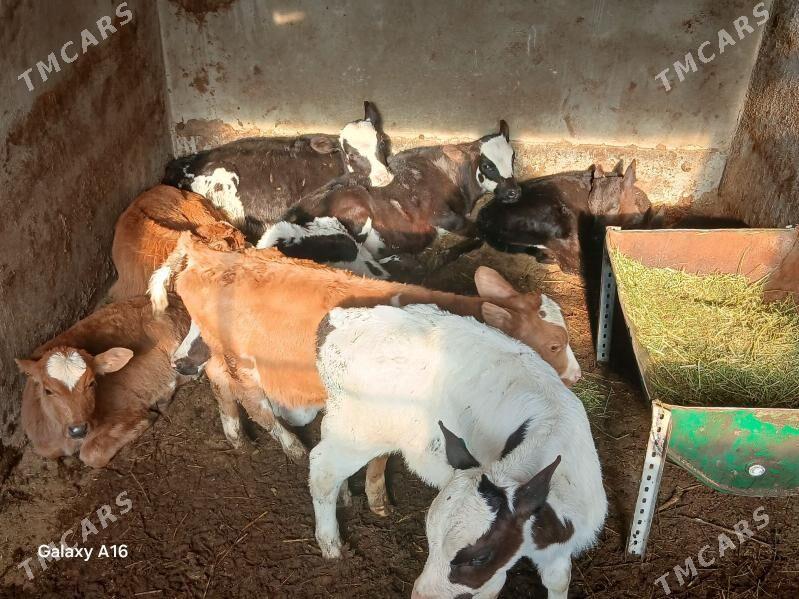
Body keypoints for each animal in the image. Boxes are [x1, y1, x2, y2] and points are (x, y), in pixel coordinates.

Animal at [14, 295, 190, 468]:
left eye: (91, 383)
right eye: (47, 390)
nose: (78, 430)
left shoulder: (125, 409)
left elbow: (90, 454)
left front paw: (144, 422)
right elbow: (48, 451)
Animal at [149, 233, 580, 515]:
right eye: (554, 345)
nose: (576, 376)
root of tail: (211, 255)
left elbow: (379, 459)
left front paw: (373, 499)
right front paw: (361, 497)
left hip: (217, 347)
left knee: (218, 379)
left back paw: (236, 435)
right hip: (242, 359)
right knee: (253, 400)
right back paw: (290, 446)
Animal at [313, 303, 606, 599]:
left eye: (480, 557)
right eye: (429, 538)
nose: (421, 596)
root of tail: (341, 317)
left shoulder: (558, 548)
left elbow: (558, 581)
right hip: (357, 432)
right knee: (322, 469)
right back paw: (331, 545)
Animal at [477, 160, 651, 274]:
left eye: (614, 206)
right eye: (590, 204)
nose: (595, 236)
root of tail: (484, 218)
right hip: (564, 227)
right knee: (574, 265)